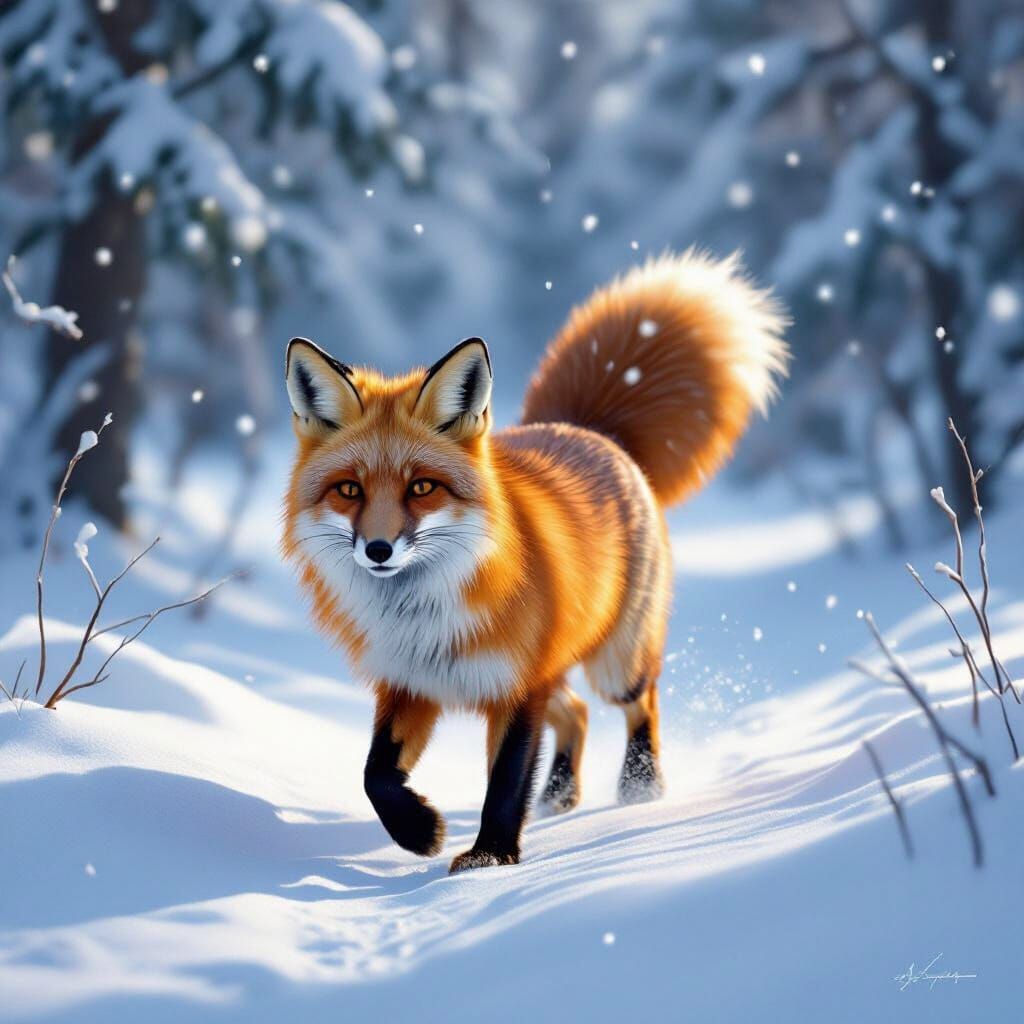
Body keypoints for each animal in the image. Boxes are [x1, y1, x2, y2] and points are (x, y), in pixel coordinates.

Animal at [281, 249, 789, 873]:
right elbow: (375, 776)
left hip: (614, 665)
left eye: (422, 487)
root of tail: (589, 429)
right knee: (578, 713)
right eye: (349, 491)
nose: (378, 550)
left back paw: (641, 783)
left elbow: (503, 782)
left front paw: (488, 859)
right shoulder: (409, 685)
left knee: (638, 701)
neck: (424, 618)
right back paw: (560, 794)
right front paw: (420, 832)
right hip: (556, 671)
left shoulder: (519, 687)